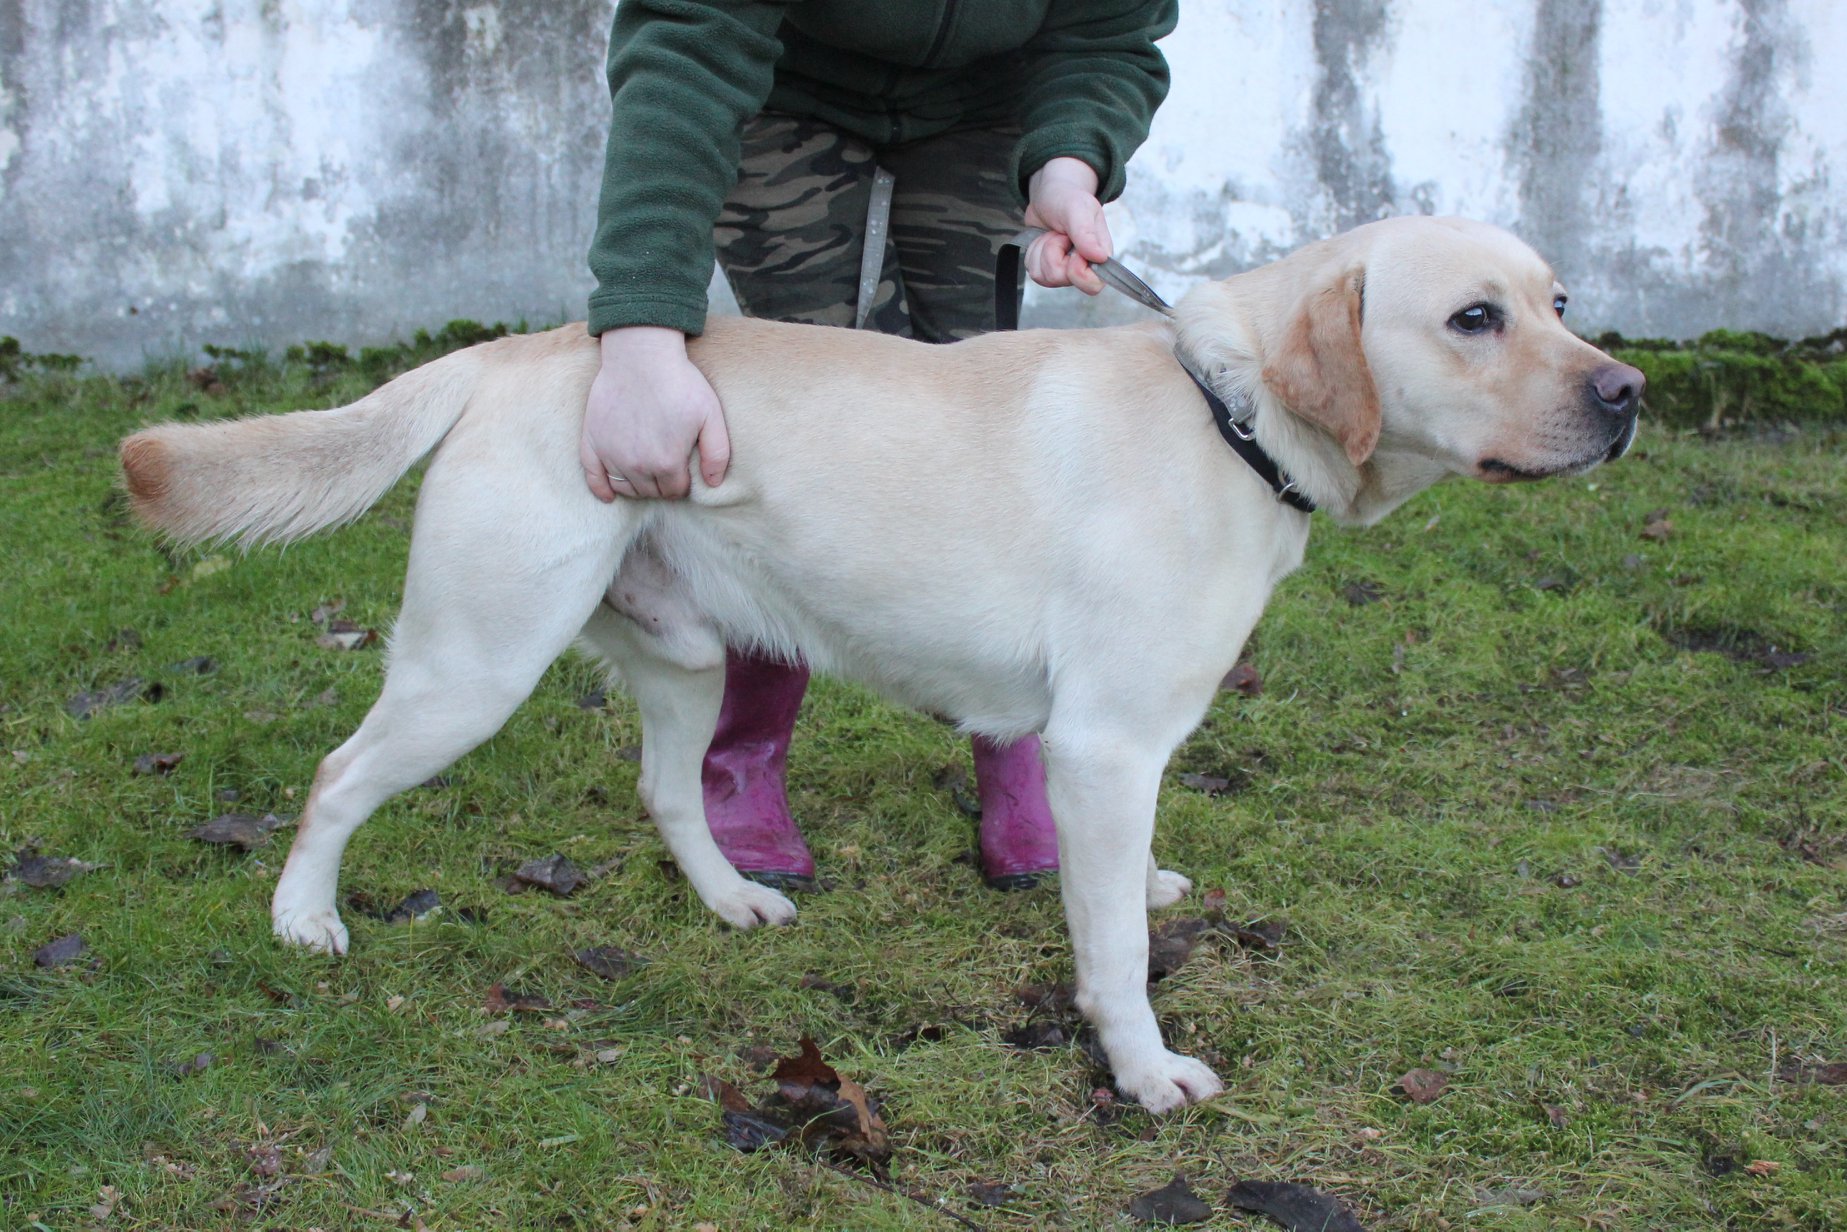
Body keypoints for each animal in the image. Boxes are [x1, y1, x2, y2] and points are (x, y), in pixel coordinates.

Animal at [122, 217, 1640, 1115]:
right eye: (1471, 319)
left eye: (1560, 301)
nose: (1625, 394)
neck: (1232, 414)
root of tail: (518, 350)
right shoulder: (1104, 744)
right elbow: (1114, 950)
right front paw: (1141, 1067)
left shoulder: (1110, 752)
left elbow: (1116, 887)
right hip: (474, 661)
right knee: (336, 773)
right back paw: (303, 918)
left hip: (681, 654)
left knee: (668, 791)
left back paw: (732, 899)